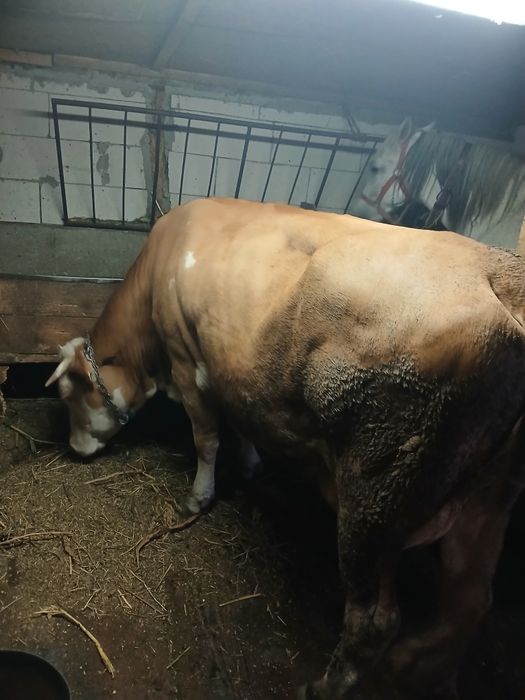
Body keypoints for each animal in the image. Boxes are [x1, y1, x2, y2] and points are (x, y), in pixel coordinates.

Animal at [46, 197, 525, 699]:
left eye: (68, 395)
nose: (75, 449)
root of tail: (500, 275)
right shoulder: (232, 370)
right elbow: (240, 424)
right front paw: (250, 465)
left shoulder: (185, 361)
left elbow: (207, 438)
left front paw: (197, 498)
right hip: (483, 502)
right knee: (469, 603)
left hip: (376, 495)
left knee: (374, 622)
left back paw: (324, 687)